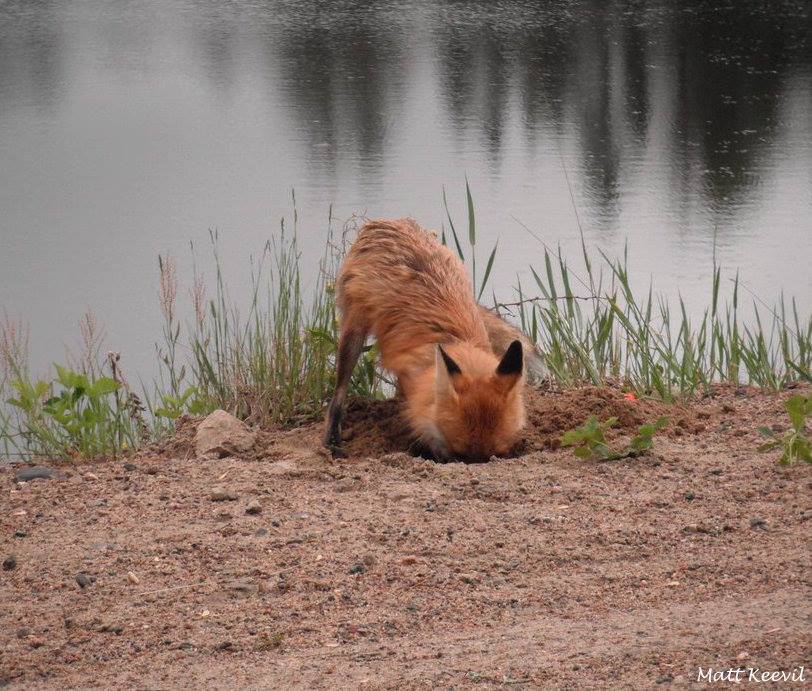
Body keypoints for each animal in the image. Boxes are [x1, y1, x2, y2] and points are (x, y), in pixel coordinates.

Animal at [324, 218, 528, 461]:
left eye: (495, 455)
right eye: (458, 453)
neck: (458, 344)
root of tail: (386, 222)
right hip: (353, 331)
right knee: (339, 391)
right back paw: (331, 439)